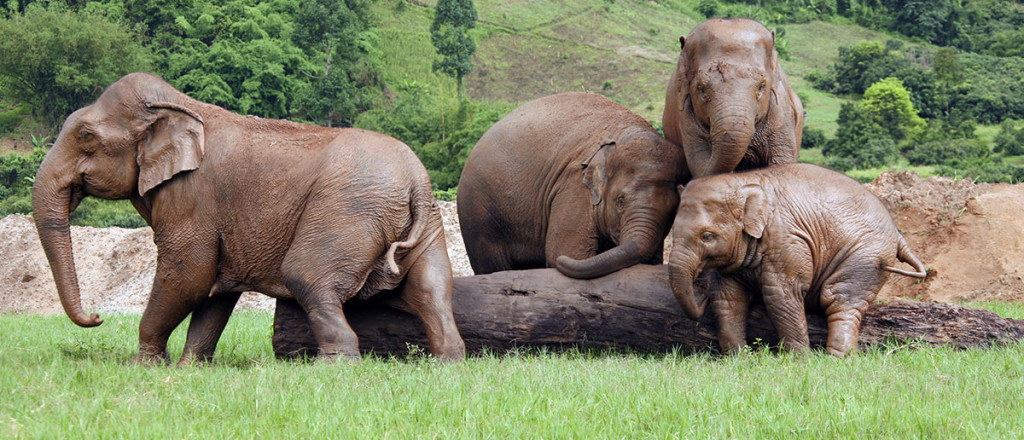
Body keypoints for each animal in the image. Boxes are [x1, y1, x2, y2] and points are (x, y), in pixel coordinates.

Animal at [30, 73, 464, 364]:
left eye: (85, 136)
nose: (97, 316)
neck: (181, 105)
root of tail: (416, 180)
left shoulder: (193, 198)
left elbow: (188, 273)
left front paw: (146, 366)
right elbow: (215, 289)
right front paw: (190, 369)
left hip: (347, 212)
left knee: (305, 276)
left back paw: (332, 366)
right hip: (427, 224)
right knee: (431, 288)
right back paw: (447, 362)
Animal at [663, 17, 806, 179]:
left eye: (762, 86)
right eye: (701, 89)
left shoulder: (780, 110)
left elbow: (782, 160)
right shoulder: (685, 115)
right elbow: (699, 159)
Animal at [667, 163, 933, 356]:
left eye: (707, 236)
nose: (699, 296)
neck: (745, 182)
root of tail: (899, 236)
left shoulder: (788, 241)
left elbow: (781, 294)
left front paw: (799, 361)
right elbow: (729, 298)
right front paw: (739, 358)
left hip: (867, 257)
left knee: (839, 300)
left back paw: (838, 359)